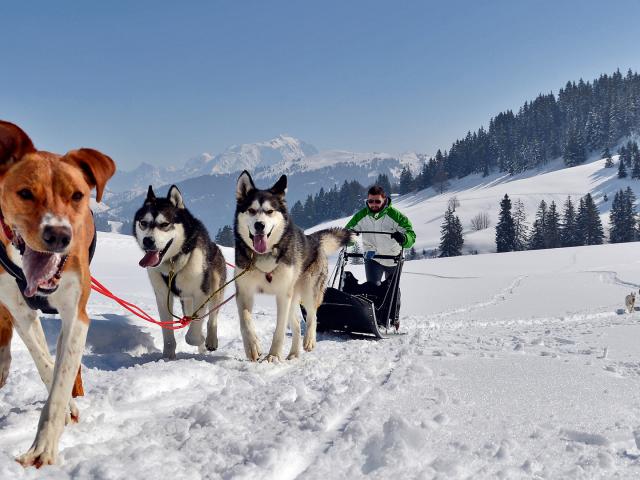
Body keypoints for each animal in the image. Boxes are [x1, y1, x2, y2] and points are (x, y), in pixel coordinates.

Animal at [0, 121, 114, 468]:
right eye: (25, 193)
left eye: (76, 195)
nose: (59, 235)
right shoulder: (19, 310)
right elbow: (45, 362)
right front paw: (67, 410)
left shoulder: (76, 315)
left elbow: (61, 381)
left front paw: (42, 447)